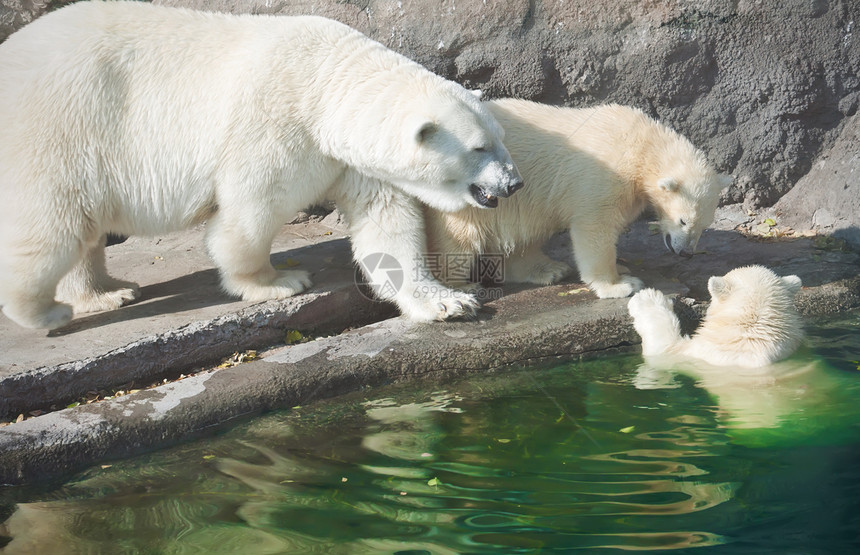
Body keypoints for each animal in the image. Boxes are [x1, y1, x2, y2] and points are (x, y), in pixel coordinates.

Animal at [0, 1, 516, 330]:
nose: (514, 183)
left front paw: (449, 302)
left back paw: (107, 291)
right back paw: (46, 311)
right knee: (53, 225)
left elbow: (388, 224)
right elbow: (252, 209)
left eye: (499, 137)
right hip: (63, 126)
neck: (325, 79)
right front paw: (277, 282)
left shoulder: (351, 160)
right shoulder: (275, 122)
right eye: (479, 147)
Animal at [424, 100, 732, 300]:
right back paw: (461, 287)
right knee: (460, 236)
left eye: (704, 225)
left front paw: (622, 267)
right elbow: (595, 227)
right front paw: (620, 284)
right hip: (473, 190)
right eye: (683, 220)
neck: (642, 145)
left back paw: (547, 269)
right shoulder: (605, 174)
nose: (686, 252)